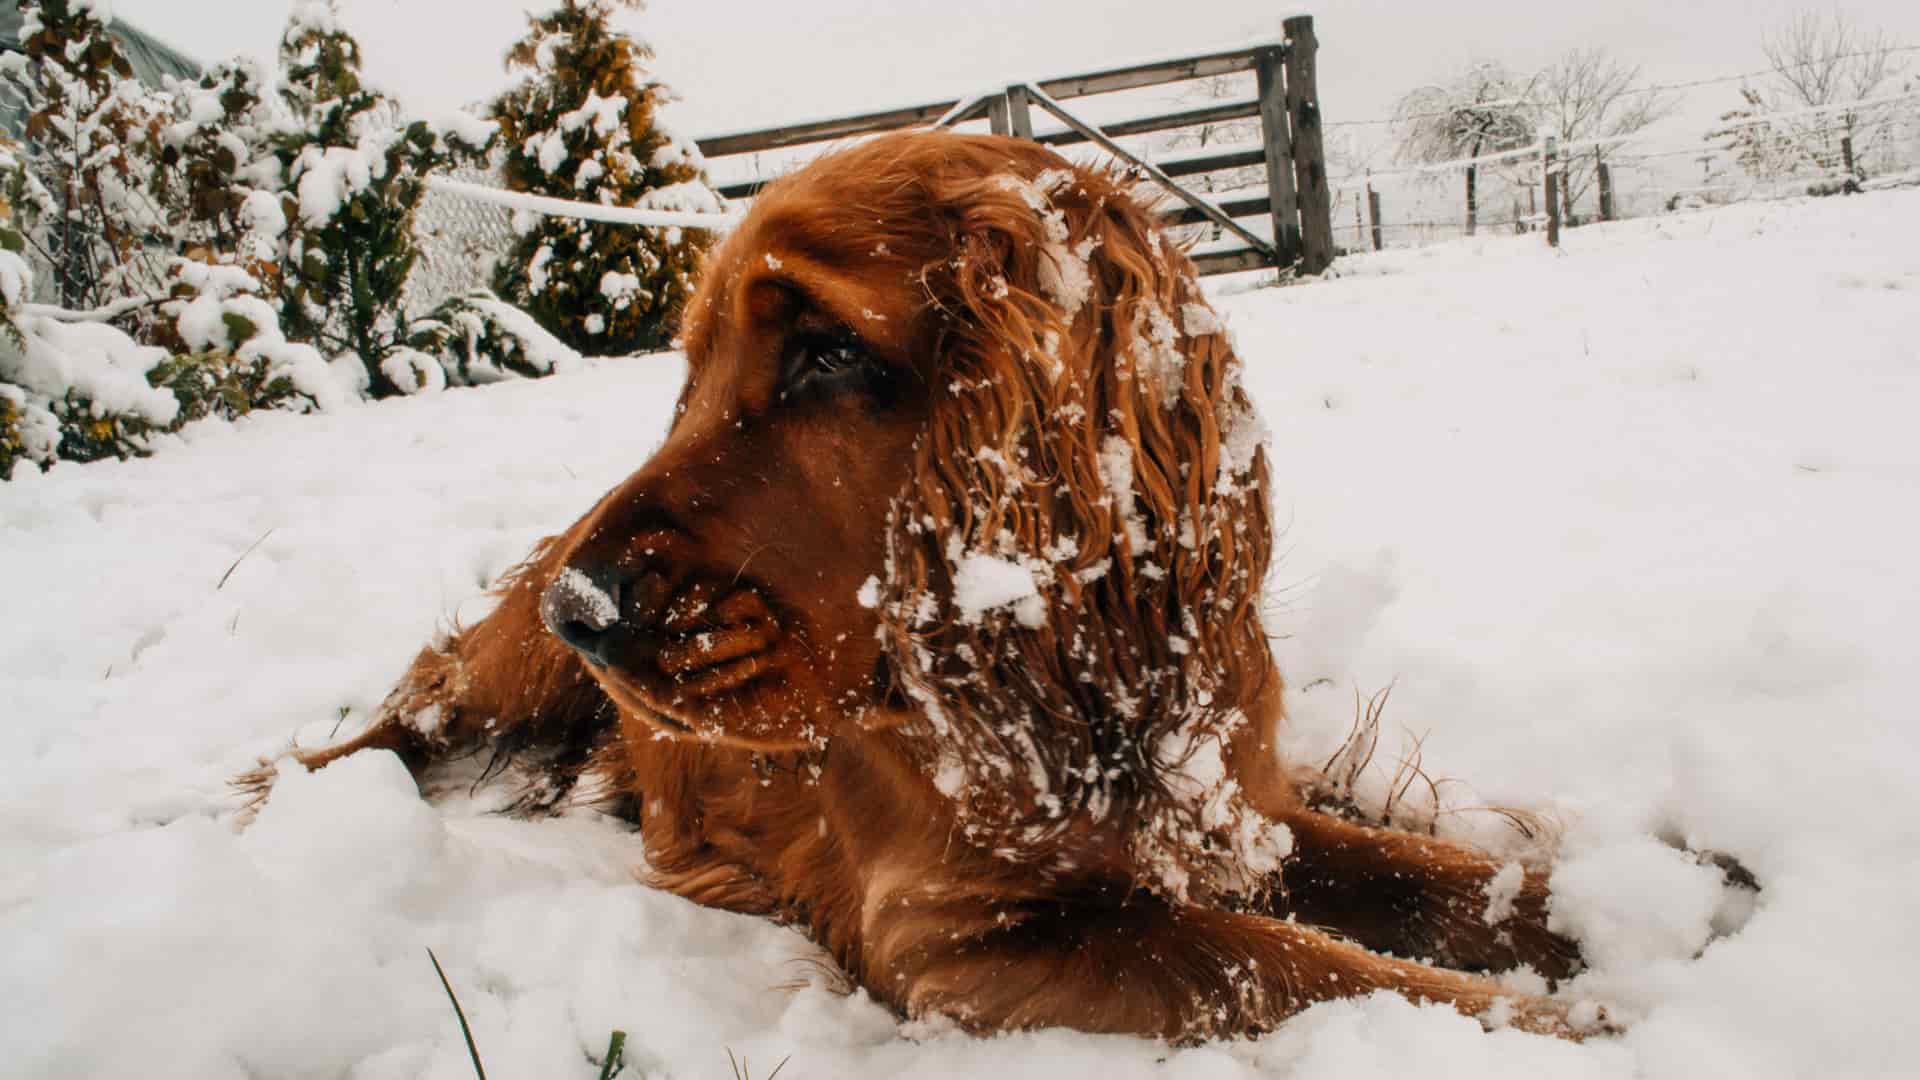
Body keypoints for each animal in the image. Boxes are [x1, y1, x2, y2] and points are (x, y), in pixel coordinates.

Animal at [251, 130, 1605, 1037]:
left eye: (826, 353)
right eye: (692, 369)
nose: (576, 614)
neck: (1067, 696)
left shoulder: (1236, 811)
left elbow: (1435, 876)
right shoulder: (956, 941)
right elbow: (1284, 964)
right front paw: (1567, 1025)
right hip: (489, 675)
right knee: (397, 717)